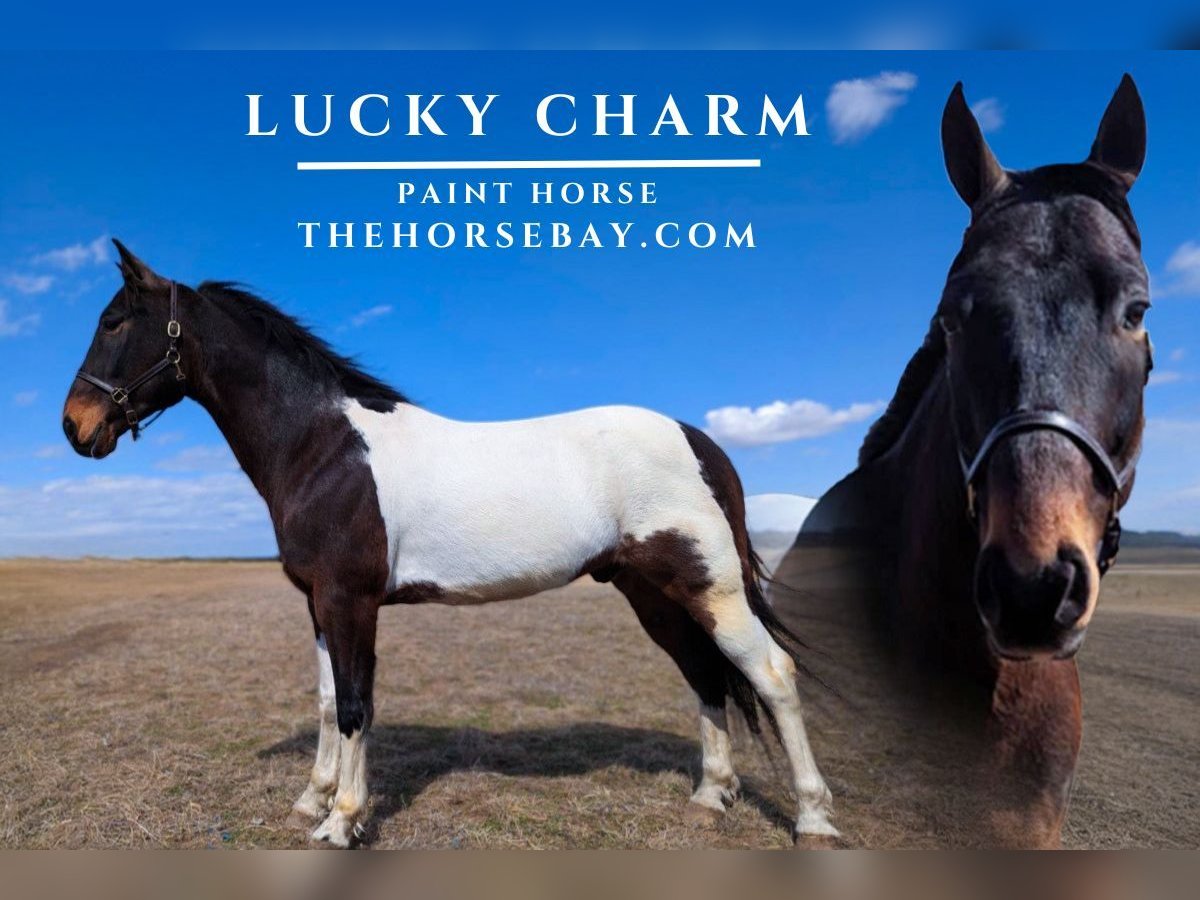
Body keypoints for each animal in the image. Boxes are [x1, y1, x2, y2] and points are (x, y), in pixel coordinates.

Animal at [61, 243, 837, 847]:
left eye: (113, 321)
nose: (75, 425)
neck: (325, 448)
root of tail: (699, 440)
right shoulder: (318, 604)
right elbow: (326, 701)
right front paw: (312, 800)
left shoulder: (351, 601)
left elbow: (356, 704)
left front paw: (342, 821)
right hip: (653, 595)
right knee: (705, 676)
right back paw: (710, 798)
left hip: (712, 587)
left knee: (771, 675)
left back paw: (813, 820)